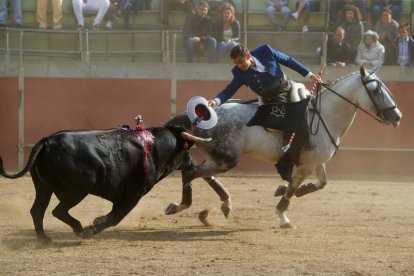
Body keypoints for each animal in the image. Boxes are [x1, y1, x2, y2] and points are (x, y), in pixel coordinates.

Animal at [0, 126, 210, 243]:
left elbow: (113, 216)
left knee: (37, 210)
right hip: (77, 190)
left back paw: (44, 239)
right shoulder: (133, 195)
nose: (195, 163)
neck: (154, 148)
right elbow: (115, 218)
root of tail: (46, 141)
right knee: (57, 210)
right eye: (186, 150)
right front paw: (93, 227)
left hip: (43, 188)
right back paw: (79, 229)